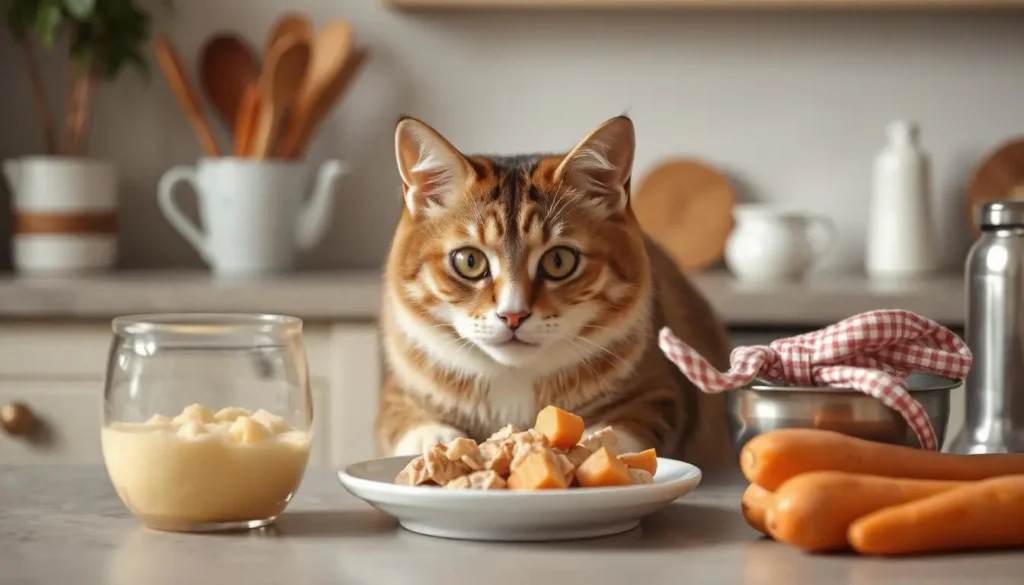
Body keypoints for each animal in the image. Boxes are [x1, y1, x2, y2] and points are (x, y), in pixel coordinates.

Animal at [376, 116, 737, 469]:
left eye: (559, 260)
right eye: (469, 261)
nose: (513, 315)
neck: (514, 377)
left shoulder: (663, 390)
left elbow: (632, 422)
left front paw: (596, 444)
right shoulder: (396, 389)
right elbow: (399, 417)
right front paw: (434, 441)